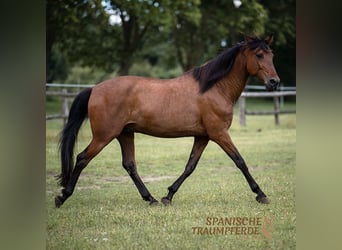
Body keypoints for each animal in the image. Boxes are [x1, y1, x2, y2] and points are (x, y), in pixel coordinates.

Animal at [54, 34, 280, 207]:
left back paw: (151, 199)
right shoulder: (219, 134)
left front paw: (168, 195)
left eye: (272, 55)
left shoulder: (203, 136)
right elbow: (240, 161)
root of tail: (94, 89)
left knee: (129, 165)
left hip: (125, 134)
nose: (274, 82)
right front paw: (261, 194)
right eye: (259, 55)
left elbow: (190, 166)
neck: (214, 88)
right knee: (82, 158)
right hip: (104, 136)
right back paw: (63, 196)